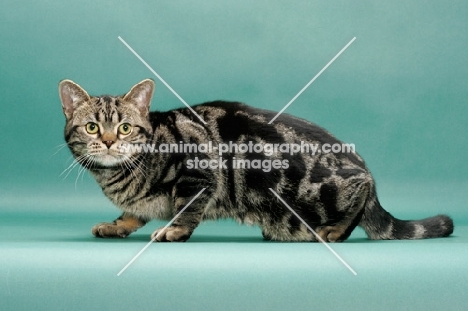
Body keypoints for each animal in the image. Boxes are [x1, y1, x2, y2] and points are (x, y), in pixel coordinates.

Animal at [58, 78, 454, 244]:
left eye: (125, 128)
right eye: (92, 127)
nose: (109, 141)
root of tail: (361, 163)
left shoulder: (198, 173)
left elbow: (185, 209)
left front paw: (173, 229)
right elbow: (132, 212)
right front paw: (116, 225)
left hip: (327, 189)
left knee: (362, 189)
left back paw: (336, 230)